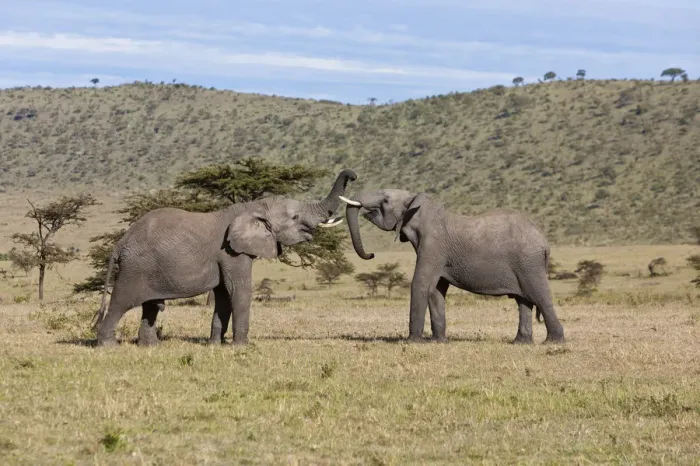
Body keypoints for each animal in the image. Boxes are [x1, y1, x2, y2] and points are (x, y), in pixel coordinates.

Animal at [93, 169, 358, 347]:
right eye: (294, 217)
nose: (353, 175)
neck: (252, 206)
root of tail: (121, 242)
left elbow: (222, 295)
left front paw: (214, 346)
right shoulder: (231, 252)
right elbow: (239, 290)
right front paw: (243, 347)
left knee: (150, 306)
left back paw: (151, 347)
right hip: (136, 267)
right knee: (122, 301)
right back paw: (108, 346)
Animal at [339, 189, 565, 344]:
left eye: (386, 199)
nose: (371, 254)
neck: (418, 203)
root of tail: (544, 242)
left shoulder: (433, 245)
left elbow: (421, 284)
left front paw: (412, 342)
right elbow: (436, 290)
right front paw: (438, 342)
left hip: (529, 263)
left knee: (540, 297)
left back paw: (553, 342)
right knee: (523, 301)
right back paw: (520, 343)